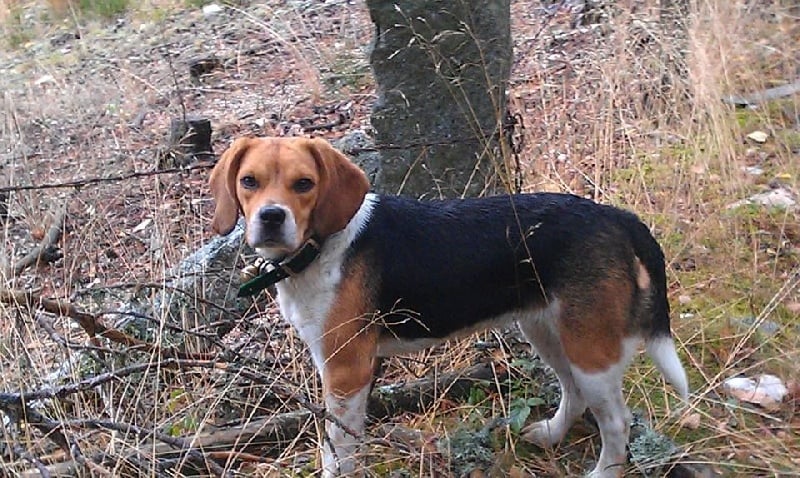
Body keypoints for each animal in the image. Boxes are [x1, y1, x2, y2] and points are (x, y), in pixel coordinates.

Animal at [209, 136, 692, 476]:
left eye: (304, 184)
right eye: (249, 181)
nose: (271, 217)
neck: (323, 246)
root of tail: (613, 215)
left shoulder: (345, 370)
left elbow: (337, 450)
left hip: (590, 347)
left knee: (617, 422)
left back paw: (603, 471)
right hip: (548, 332)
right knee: (572, 392)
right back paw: (551, 435)